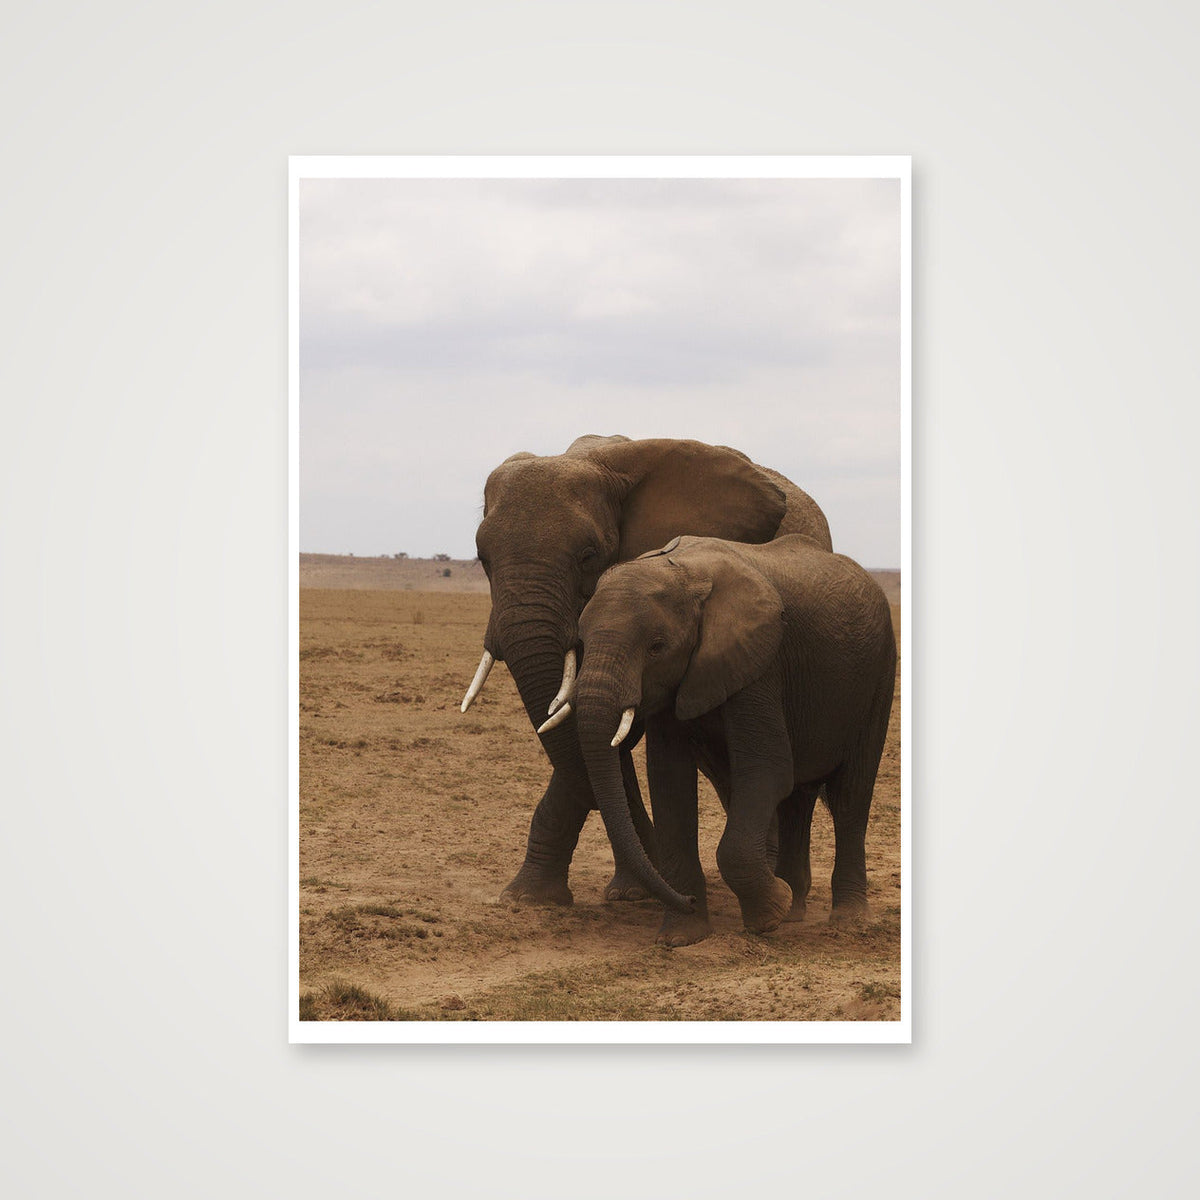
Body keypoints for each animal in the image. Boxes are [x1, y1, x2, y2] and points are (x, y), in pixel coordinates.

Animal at [557, 532, 896, 946]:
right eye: (581, 640)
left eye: (656, 646)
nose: (686, 901)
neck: (685, 576)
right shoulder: (677, 681)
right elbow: (669, 781)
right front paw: (681, 937)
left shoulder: (759, 664)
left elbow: (767, 770)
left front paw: (769, 916)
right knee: (797, 800)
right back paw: (795, 909)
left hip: (879, 673)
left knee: (851, 796)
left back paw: (846, 920)